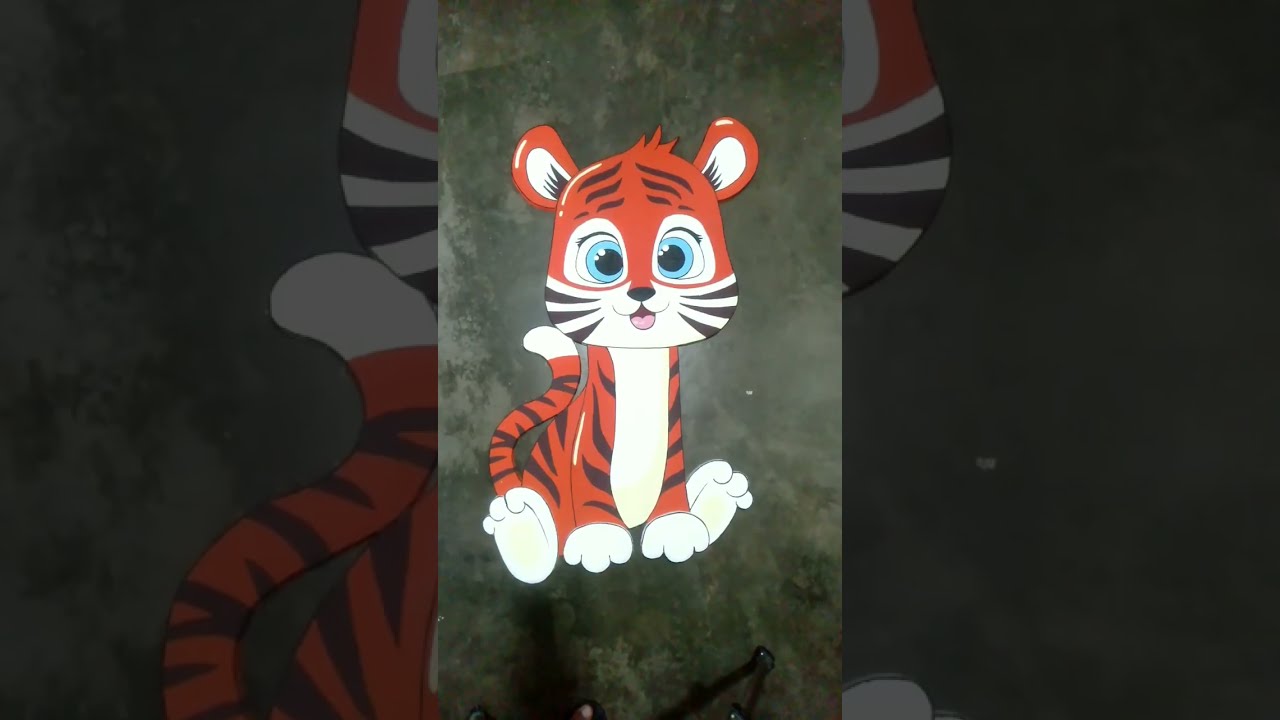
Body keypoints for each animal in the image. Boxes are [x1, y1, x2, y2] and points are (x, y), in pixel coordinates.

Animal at [481, 120, 759, 585]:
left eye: (673, 256)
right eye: (606, 261)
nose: (641, 293)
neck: (639, 362)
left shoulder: (672, 452)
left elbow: (673, 491)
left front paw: (676, 527)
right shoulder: (587, 456)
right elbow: (592, 496)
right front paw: (599, 539)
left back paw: (718, 494)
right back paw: (520, 530)